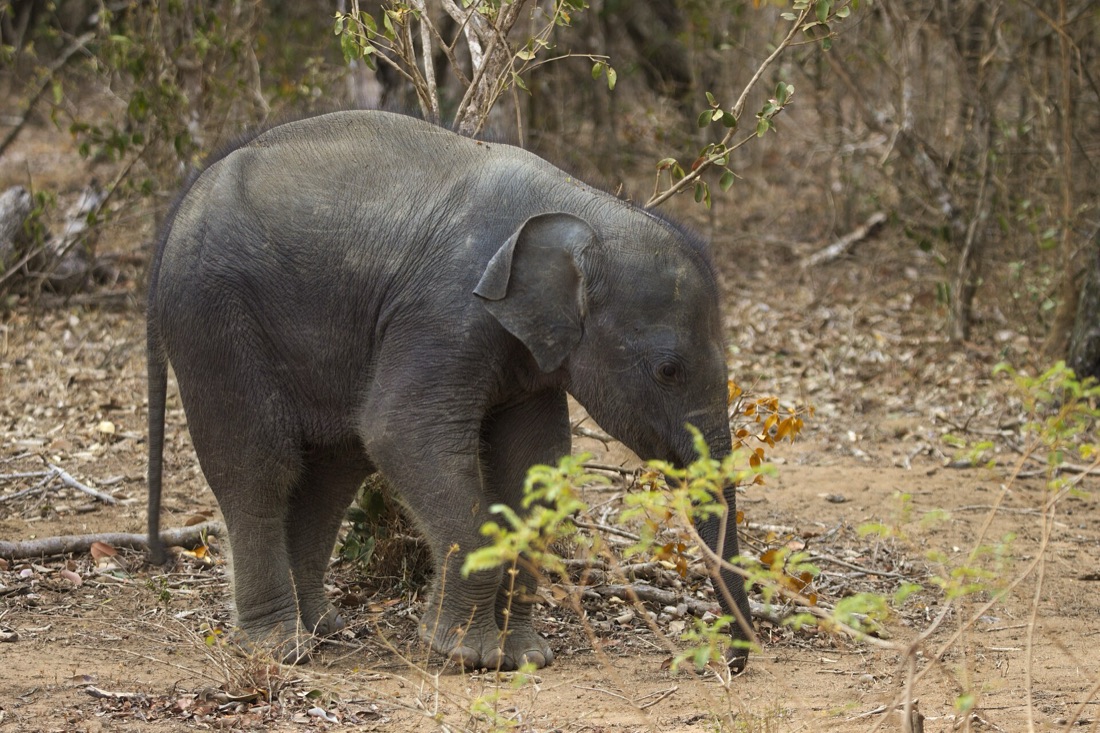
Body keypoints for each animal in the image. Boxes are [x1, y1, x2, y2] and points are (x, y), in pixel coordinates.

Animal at [146, 110, 755, 672]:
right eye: (668, 370)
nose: (730, 661)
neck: (580, 208)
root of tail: (184, 200)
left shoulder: (528, 354)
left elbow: (535, 462)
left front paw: (525, 656)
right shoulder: (445, 311)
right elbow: (400, 431)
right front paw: (465, 654)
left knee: (333, 469)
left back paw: (323, 627)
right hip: (212, 313)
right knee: (260, 466)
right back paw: (280, 648)